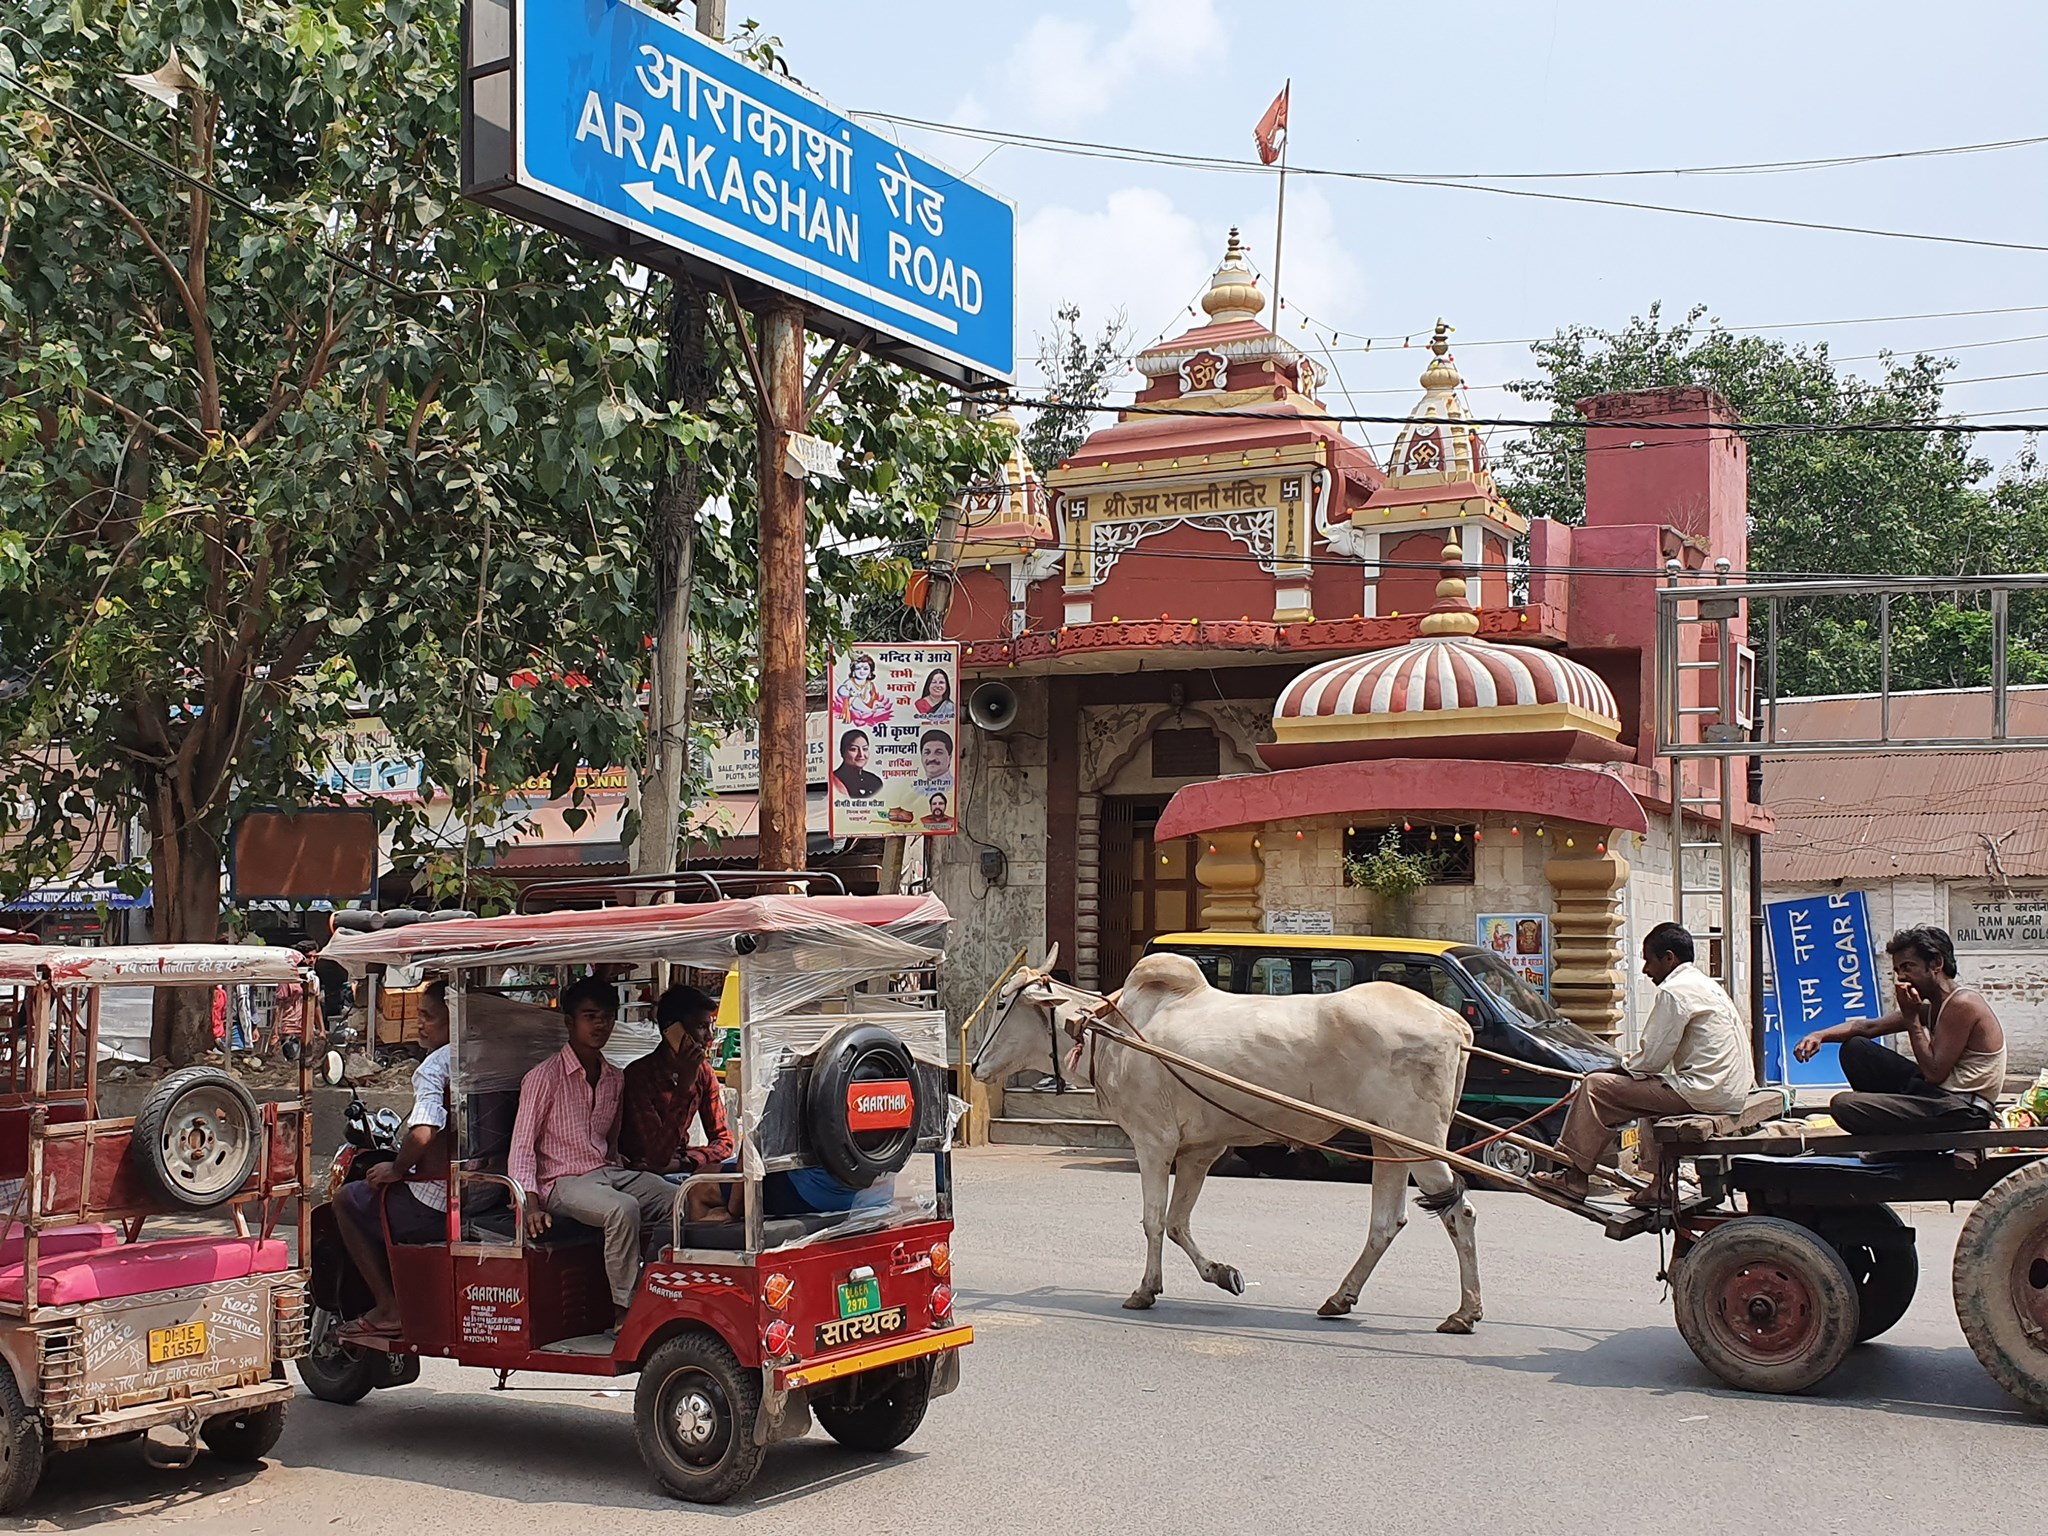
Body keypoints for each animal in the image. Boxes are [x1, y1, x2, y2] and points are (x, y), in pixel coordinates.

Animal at [978, 950, 1490, 1335]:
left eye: (1002, 1002)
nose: (978, 1066)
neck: (1111, 1032)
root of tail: (1452, 1022)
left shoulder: (1153, 1142)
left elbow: (1153, 1220)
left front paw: (1145, 1290)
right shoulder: (1199, 1151)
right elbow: (1177, 1222)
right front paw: (1223, 1275)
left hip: (1418, 1139)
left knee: (1459, 1211)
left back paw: (1465, 1312)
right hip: (1390, 1142)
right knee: (1387, 1222)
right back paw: (1340, 1298)